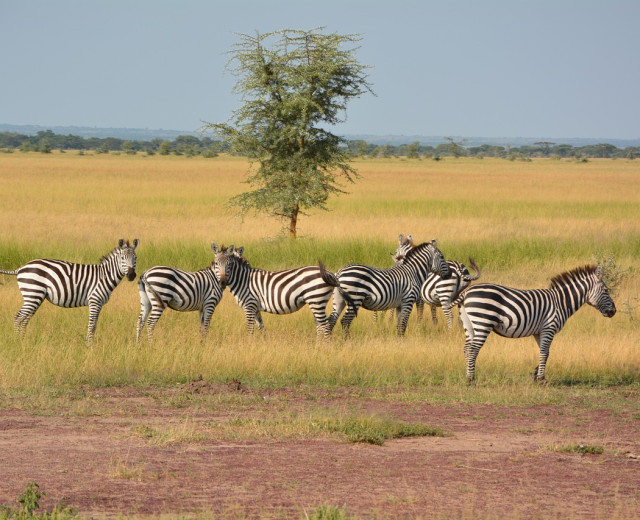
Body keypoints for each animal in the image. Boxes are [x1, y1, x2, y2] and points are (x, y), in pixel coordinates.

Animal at [0, 240, 140, 346]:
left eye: (136, 258)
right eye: (122, 258)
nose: (131, 275)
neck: (104, 276)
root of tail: (21, 268)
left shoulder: (98, 303)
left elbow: (94, 324)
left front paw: (89, 344)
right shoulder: (95, 300)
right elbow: (92, 324)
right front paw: (89, 346)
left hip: (34, 296)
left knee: (24, 318)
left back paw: (23, 341)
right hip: (33, 293)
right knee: (19, 317)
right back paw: (18, 342)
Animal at [211, 244, 356, 338]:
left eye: (230, 264)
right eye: (216, 264)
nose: (222, 282)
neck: (243, 280)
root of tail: (331, 273)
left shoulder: (249, 306)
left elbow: (250, 329)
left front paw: (249, 345)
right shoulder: (256, 308)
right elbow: (261, 328)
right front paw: (264, 344)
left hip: (316, 299)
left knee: (325, 325)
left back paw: (324, 349)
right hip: (317, 302)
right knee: (321, 325)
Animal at [322, 240, 452, 338]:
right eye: (442, 257)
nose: (449, 274)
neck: (413, 272)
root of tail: (339, 272)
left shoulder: (400, 305)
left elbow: (399, 324)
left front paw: (399, 341)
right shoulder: (408, 301)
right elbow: (403, 324)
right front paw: (402, 343)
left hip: (339, 300)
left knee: (332, 320)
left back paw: (330, 342)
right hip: (355, 298)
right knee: (345, 321)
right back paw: (347, 341)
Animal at [452, 266, 616, 384]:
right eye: (606, 290)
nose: (614, 311)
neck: (561, 302)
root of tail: (466, 292)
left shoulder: (539, 331)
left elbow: (546, 352)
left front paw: (535, 375)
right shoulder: (549, 327)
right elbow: (544, 352)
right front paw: (542, 379)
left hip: (469, 325)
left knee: (466, 349)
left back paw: (468, 376)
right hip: (483, 322)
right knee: (473, 350)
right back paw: (471, 380)